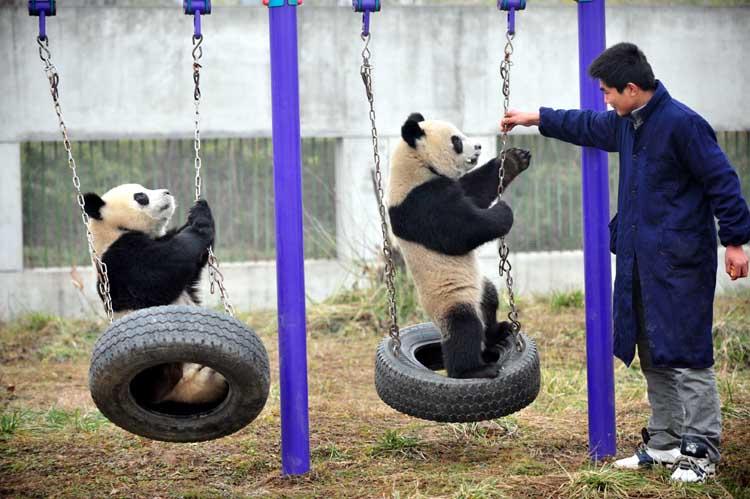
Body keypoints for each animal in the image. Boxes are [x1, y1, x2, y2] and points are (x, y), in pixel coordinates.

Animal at [82, 184, 228, 406]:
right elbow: (162, 266)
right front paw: (200, 221)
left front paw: (198, 209)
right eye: (141, 196)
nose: (167, 192)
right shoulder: (120, 259)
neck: (113, 230)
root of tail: (183, 390)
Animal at [388, 112, 536, 378]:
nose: (477, 147)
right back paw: (474, 370)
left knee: (489, 300)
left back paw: (497, 331)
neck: (415, 163)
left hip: (477, 286)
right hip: (450, 296)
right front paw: (503, 213)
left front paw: (513, 160)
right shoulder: (419, 202)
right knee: (463, 327)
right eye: (456, 140)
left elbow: (474, 190)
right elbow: (459, 231)